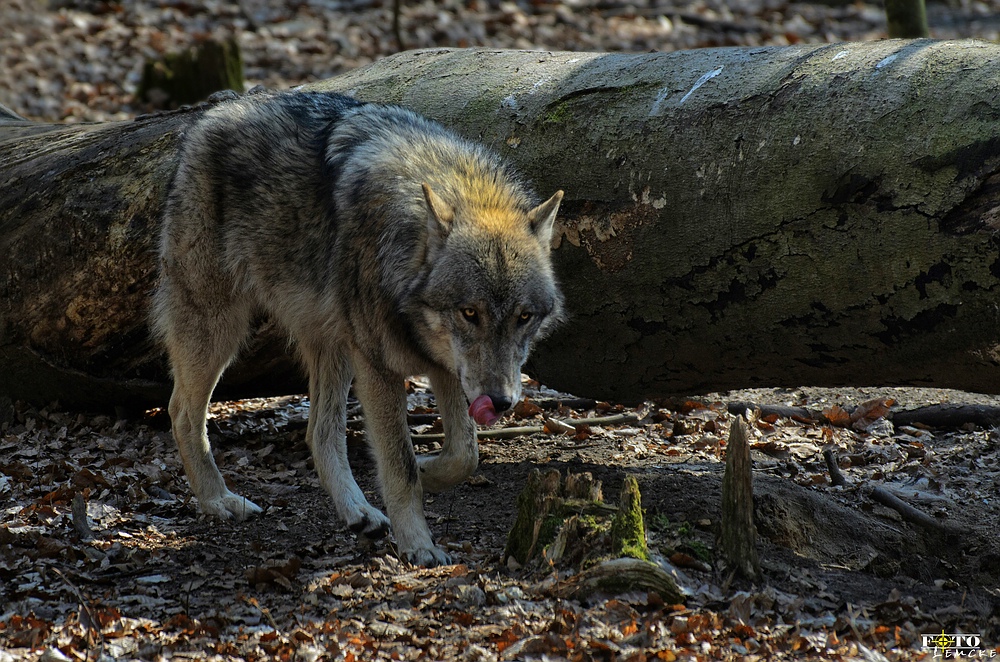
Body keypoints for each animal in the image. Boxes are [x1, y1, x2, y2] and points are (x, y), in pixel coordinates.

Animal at [153, 91, 568, 572]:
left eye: (524, 317)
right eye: (469, 313)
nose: (501, 403)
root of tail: (214, 109)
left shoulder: (444, 367)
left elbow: (466, 454)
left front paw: (429, 469)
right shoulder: (380, 365)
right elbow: (400, 463)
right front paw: (418, 543)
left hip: (333, 346)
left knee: (318, 433)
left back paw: (358, 511)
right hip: (221, 329)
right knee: (182, 411)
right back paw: (218, 500)